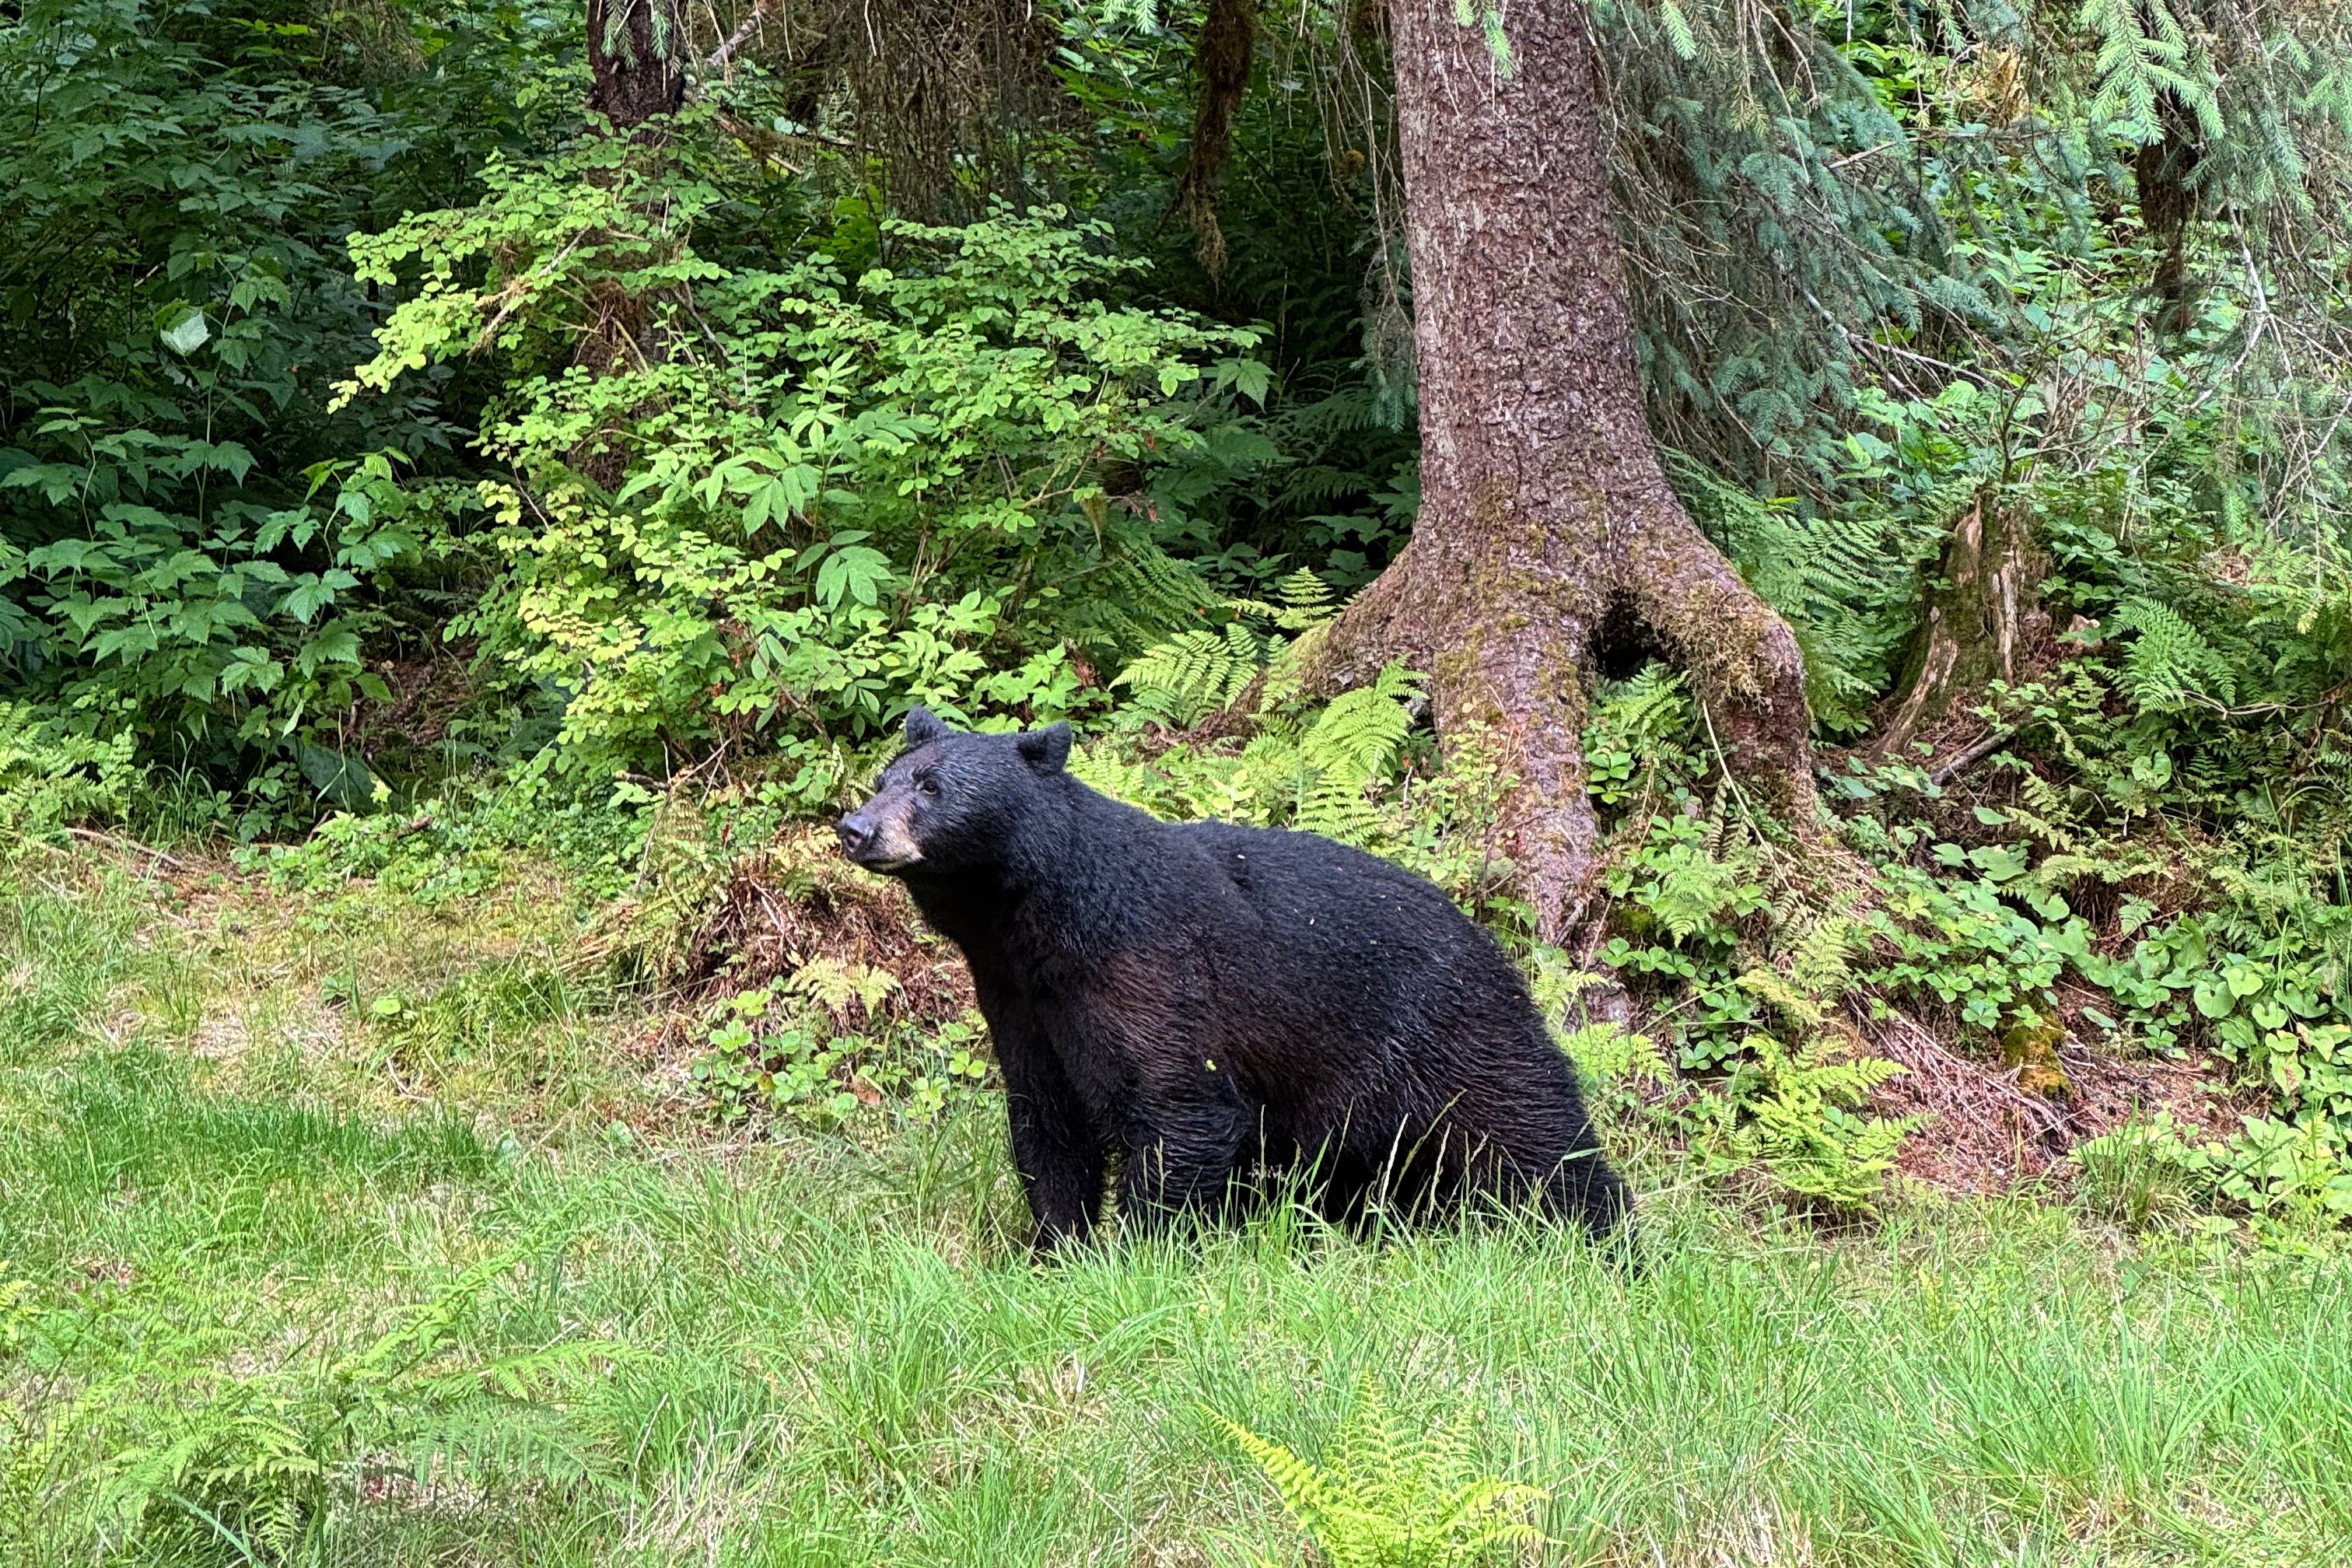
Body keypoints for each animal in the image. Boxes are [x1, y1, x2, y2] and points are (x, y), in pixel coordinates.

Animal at [836, 708, 1628, 1250]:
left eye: (932, 787)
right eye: (883, 779)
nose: (856, 828)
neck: (1040, 931)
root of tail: (1488, 940)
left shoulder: (1153, 973)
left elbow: (1181, 1109)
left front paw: (1138, 1254)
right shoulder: (1022, 1004)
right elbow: (1048, 1125)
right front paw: (1055, 1249)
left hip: (1450, 1032)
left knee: (1534, 1135)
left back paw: (1602, 1246)